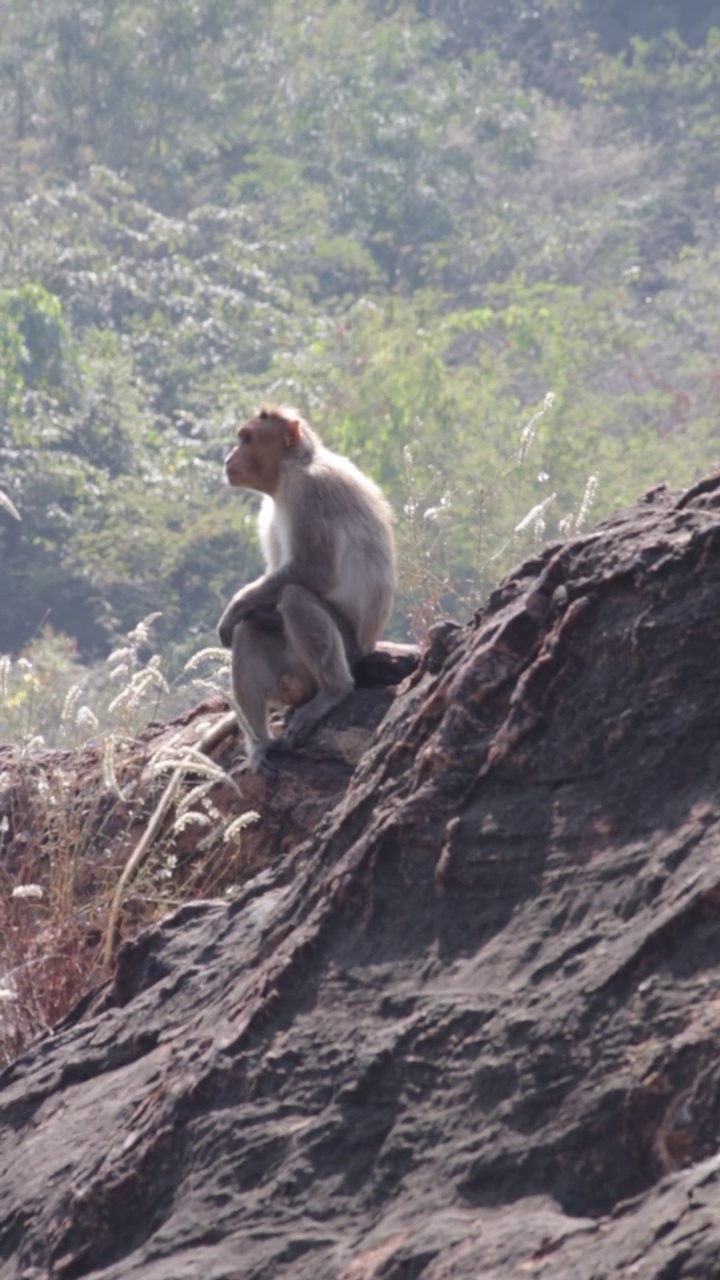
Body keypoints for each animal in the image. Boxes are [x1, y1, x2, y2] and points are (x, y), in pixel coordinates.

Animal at [219, 404, 397, 773]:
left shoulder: (311, 493)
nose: (228, 458)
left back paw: (334, 691)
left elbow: (313, 572)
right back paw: (260, 744)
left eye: (246, 439)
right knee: (250, 631)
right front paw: (256, 610)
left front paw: (236, 604)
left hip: (347, 650)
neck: (291, 471)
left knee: (296, 597)